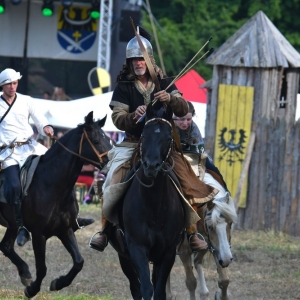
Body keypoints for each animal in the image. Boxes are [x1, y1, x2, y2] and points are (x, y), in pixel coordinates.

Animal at [0, 112, 112, 298]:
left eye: (109, 139)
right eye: (96, 140)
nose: (112, 163)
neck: (51, 184)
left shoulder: (65, 230)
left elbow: (79, 262)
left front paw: (58, 283)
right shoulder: (39, 235)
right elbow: (42, 268)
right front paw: (31, 290)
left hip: (12, 225)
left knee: (6, 247)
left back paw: (24, 272)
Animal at [166, 172, 237, 300]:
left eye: (230, 223)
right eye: (210, 226)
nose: (227, 259)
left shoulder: (216, 248)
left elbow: (224, 280)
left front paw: (220, 295)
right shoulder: (184, 252)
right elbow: (191, 282)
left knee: (197, 261)